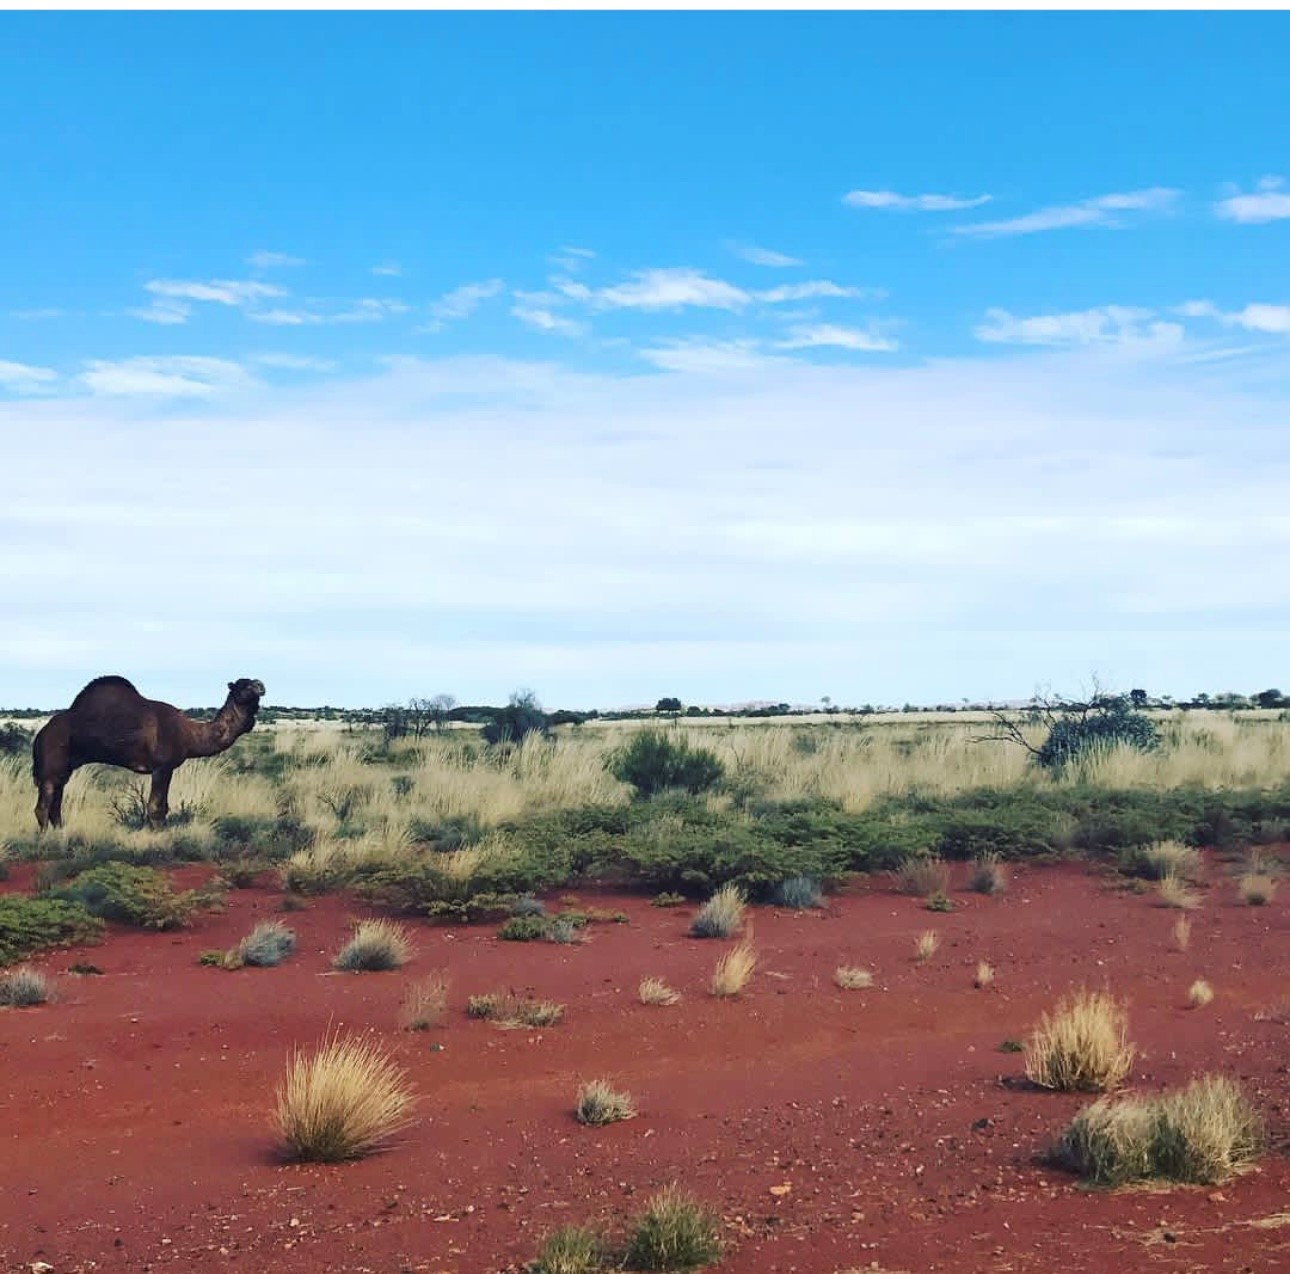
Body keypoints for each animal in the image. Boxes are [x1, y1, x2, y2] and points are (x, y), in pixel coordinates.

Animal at [34, 670, 264, 830]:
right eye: (243, 686)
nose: (260, 685)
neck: (188, 733)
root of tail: (41, 734)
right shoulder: (162, 767)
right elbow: (156, 807)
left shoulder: (167, 768)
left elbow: (163, 806)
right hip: (52, 764)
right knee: (43, 805)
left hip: (65, 768)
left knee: (56, 802)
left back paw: (61, 832)